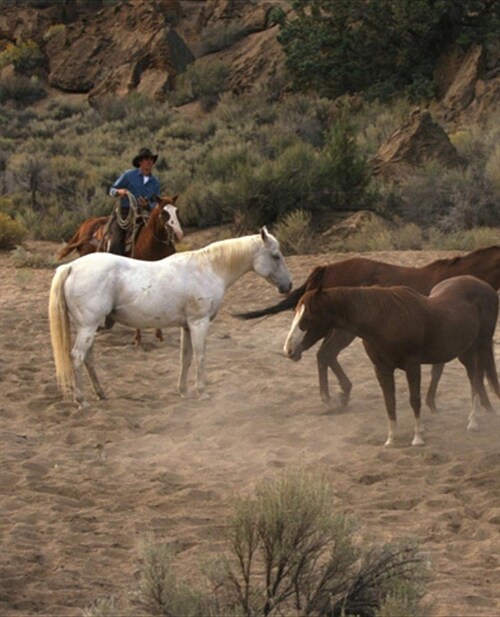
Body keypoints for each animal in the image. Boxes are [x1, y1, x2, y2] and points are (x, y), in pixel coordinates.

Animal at [48, 226, 292, 410]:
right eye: (275, 256)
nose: (288, 286)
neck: (209, 268)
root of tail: (71, 267)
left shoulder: (187, 326)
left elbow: (186, 358)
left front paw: (183, 391)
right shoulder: (199, 323)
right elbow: (200, 356)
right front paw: (202, 392)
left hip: (90, 329)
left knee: (88, 359)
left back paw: (100, 393)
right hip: (88, 328)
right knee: (77, 357)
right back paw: (81, 400)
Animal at [236, 245, 500, 410]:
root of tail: (325, 269)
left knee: (325, 355)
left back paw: (339, 394)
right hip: (342, 330)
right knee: (325, 354)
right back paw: (333, 395)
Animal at [286, 276, 500, 446]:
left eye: (307, 317)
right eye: (296, 313)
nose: (288, 349)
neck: (384, 320)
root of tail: (485, 286)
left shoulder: (412, 366)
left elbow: (414, 399)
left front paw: (418, 437)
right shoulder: (381, 368)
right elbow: (390, 401)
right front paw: (391, 439)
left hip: (480, 346)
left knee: (476, 379)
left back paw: (473, 422)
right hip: (465, 351)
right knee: (474, 379)